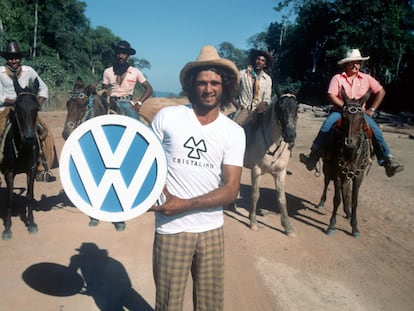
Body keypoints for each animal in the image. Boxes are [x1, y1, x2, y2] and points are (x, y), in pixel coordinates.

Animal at [243, 94, 298, 238]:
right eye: (280, 109)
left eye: (297, 108)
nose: (290, 136)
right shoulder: (256, 170)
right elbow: (255, 194)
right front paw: (253, 222)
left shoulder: (280, 173)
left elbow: (282, 199)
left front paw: (288, 228)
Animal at [320, 88, 372, 239]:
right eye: (344, 117)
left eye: (361, 118)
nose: (350, 145)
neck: (351, 155)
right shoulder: (337, 173)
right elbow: (336, 198)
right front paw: (331, 225)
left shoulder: (358, 176)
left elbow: (354, 201)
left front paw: (355, 227)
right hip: (327, 168)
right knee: (327, 183)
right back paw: (321, 203)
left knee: (346, 189)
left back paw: (347, 212)